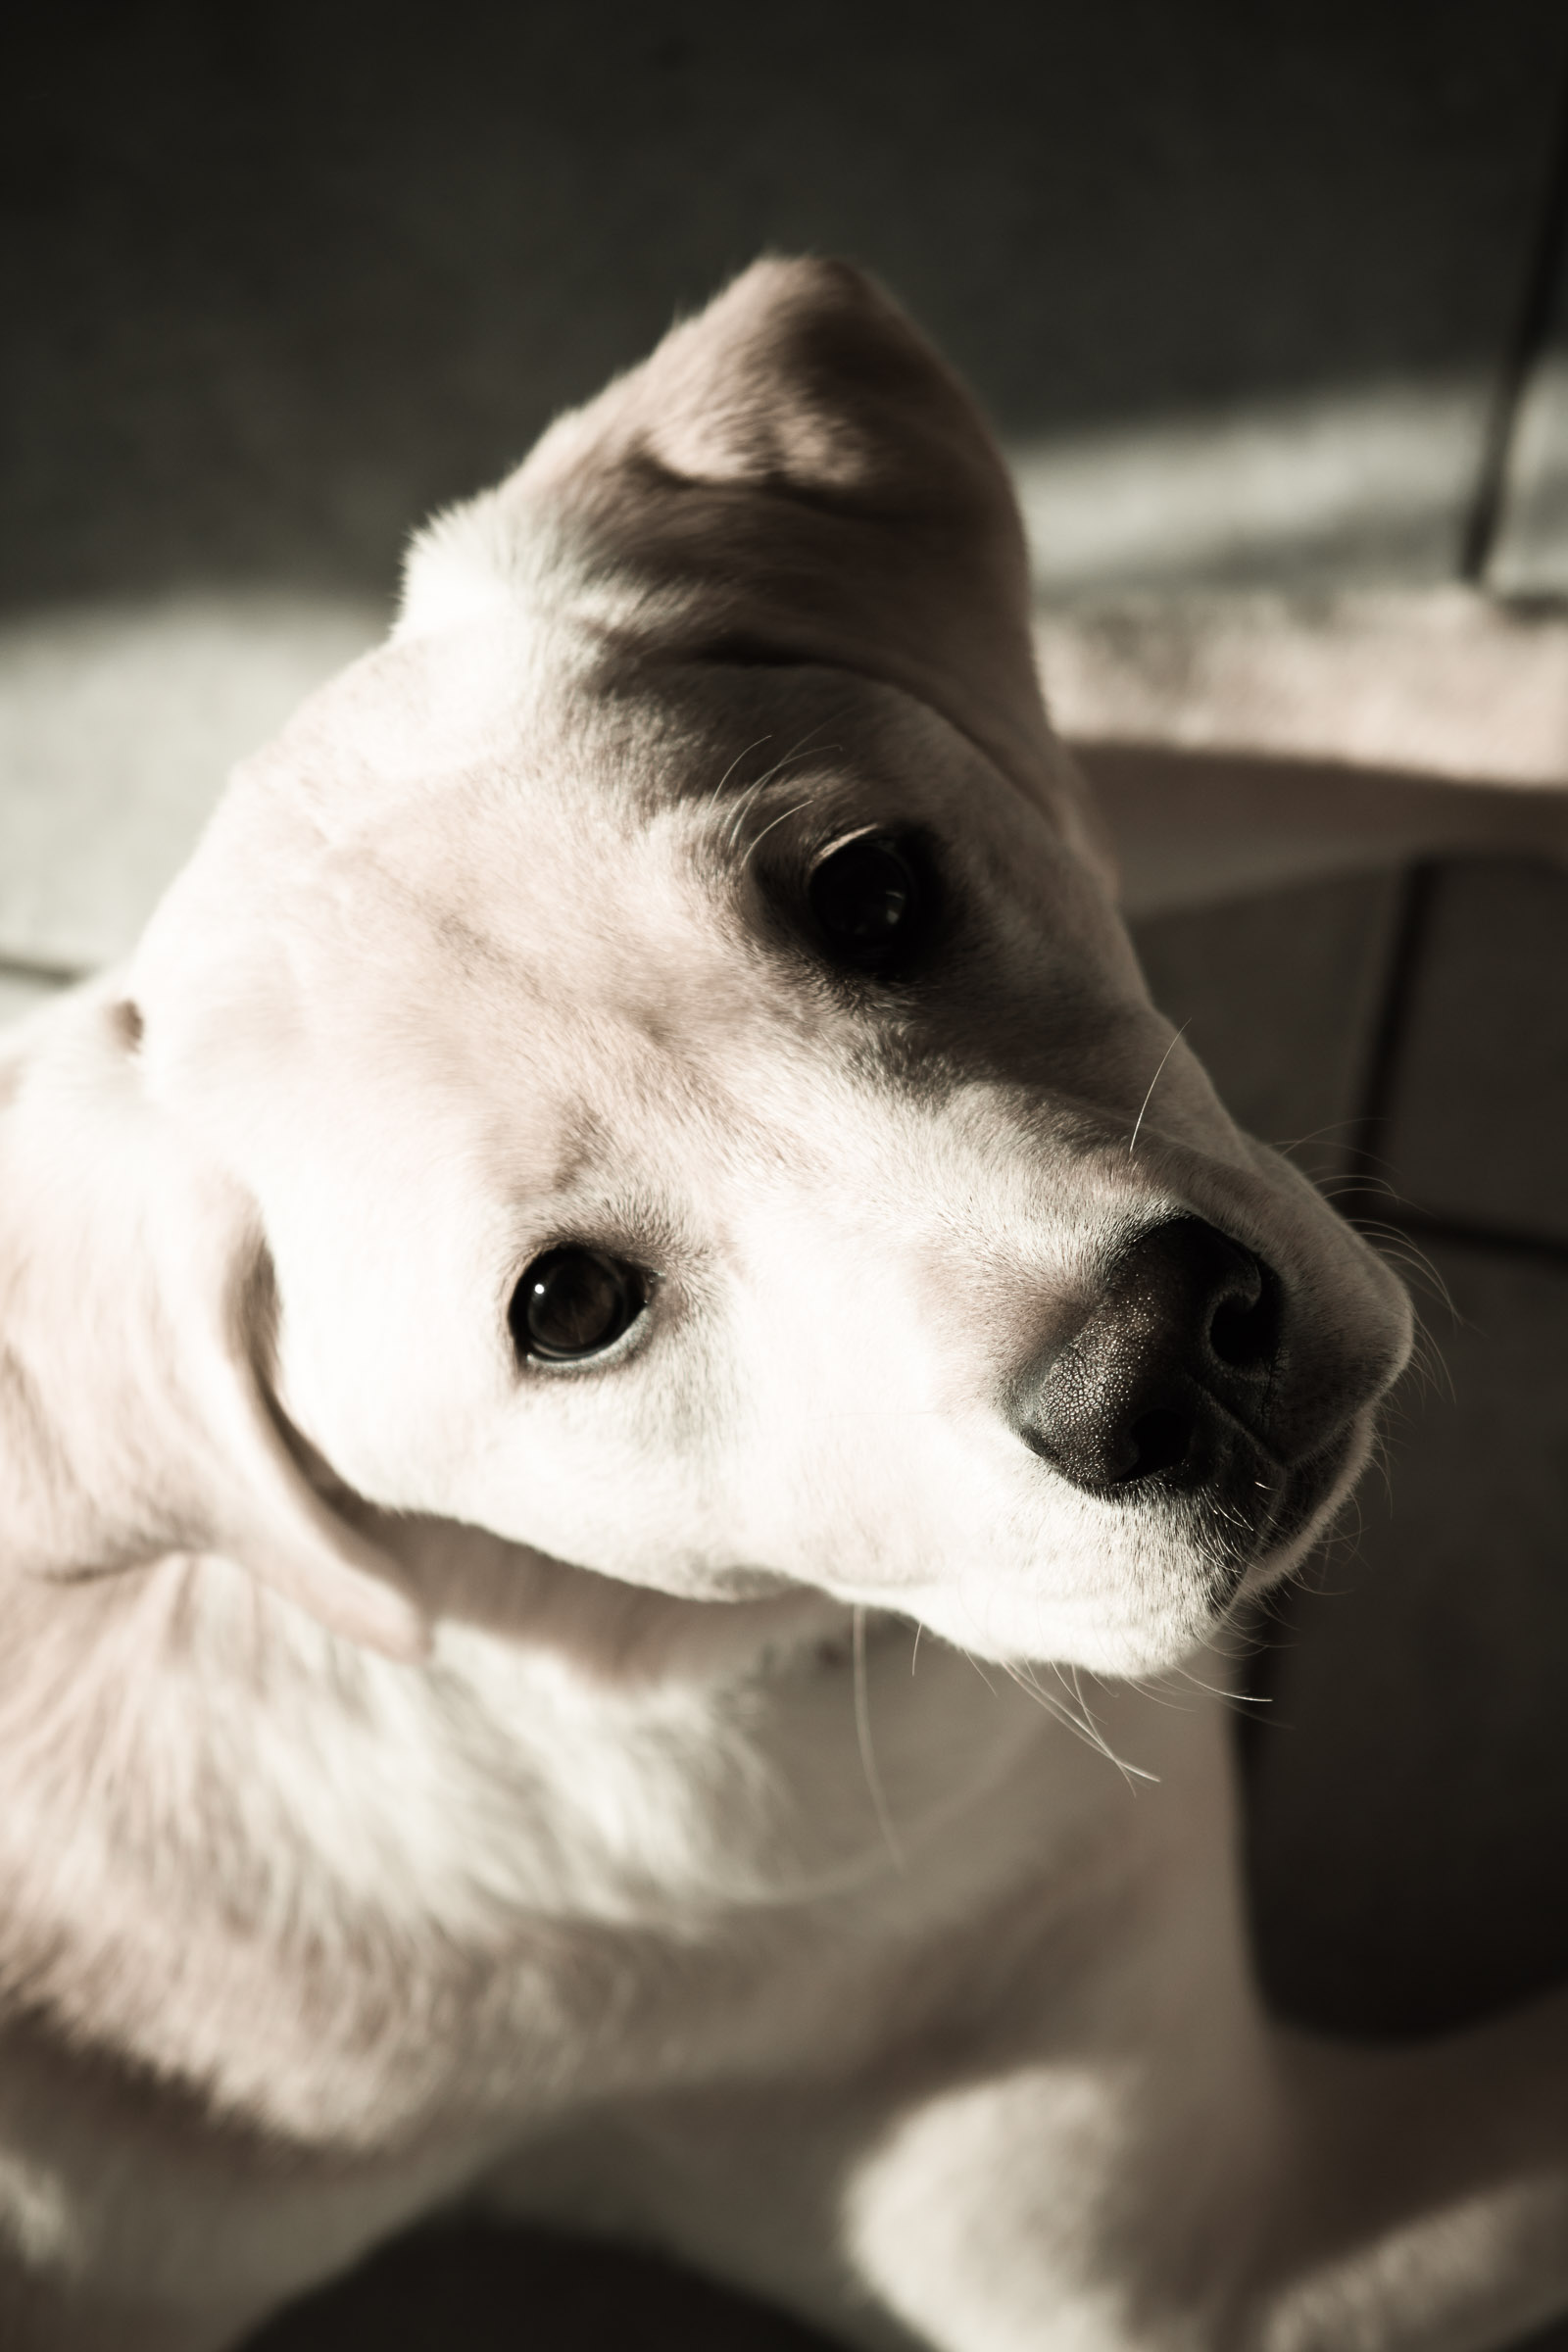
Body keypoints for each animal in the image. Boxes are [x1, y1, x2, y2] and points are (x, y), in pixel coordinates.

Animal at [3, 257, 1568, 2352]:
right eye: (568, 1307)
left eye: (875, 890)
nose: (1164, 1363)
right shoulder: (1225, 2266)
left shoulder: (1082, 695)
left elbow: (1438, 673)